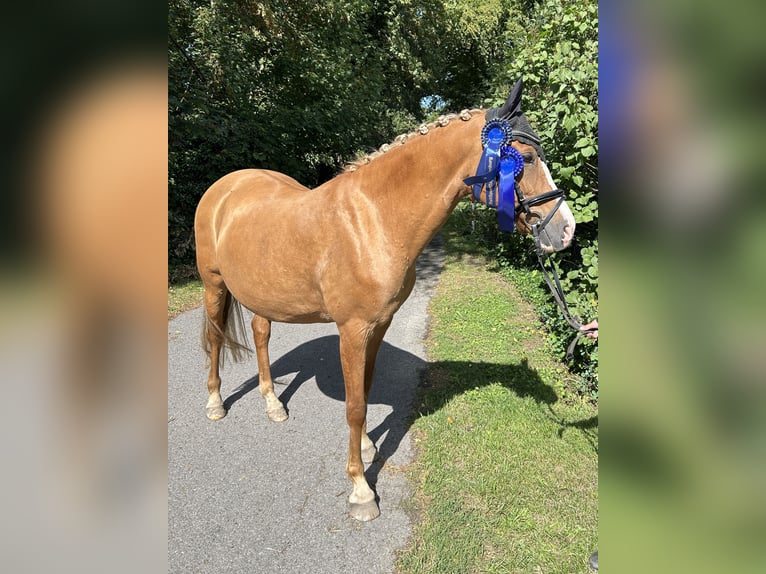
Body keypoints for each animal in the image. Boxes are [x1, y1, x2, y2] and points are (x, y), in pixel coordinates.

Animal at [194, 78, 576, 521]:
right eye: (526, 158)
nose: (566, 230)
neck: (372, 219)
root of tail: (225, 186)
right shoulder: (352, 329)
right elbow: (355, 406)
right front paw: (361, 489)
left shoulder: (378, 326)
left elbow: (365, 388)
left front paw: (365, 447)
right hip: (214, 285)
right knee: (216, 339)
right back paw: (215, 403)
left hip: (262, 295)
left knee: (259, 335)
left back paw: (273, 404)